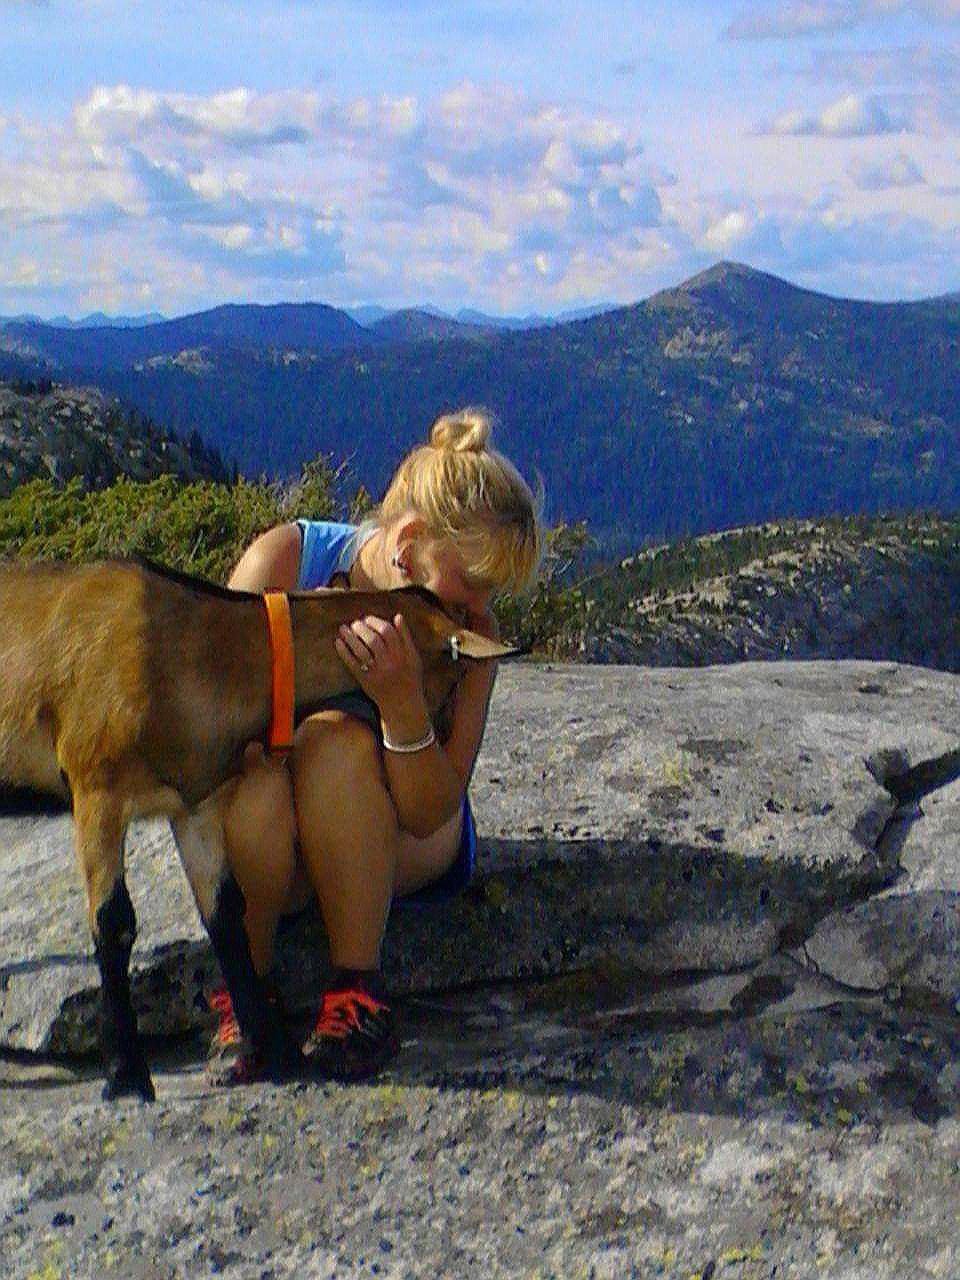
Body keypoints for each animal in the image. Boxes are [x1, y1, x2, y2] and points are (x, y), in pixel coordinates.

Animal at [0, 558, 519, 1100]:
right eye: (455, 674)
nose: (445, 741)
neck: (192, 651)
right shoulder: (96, 791)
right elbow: (114, 923)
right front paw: (126, 1075)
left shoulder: (198, 806)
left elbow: (227, 915)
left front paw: (274, 1050)